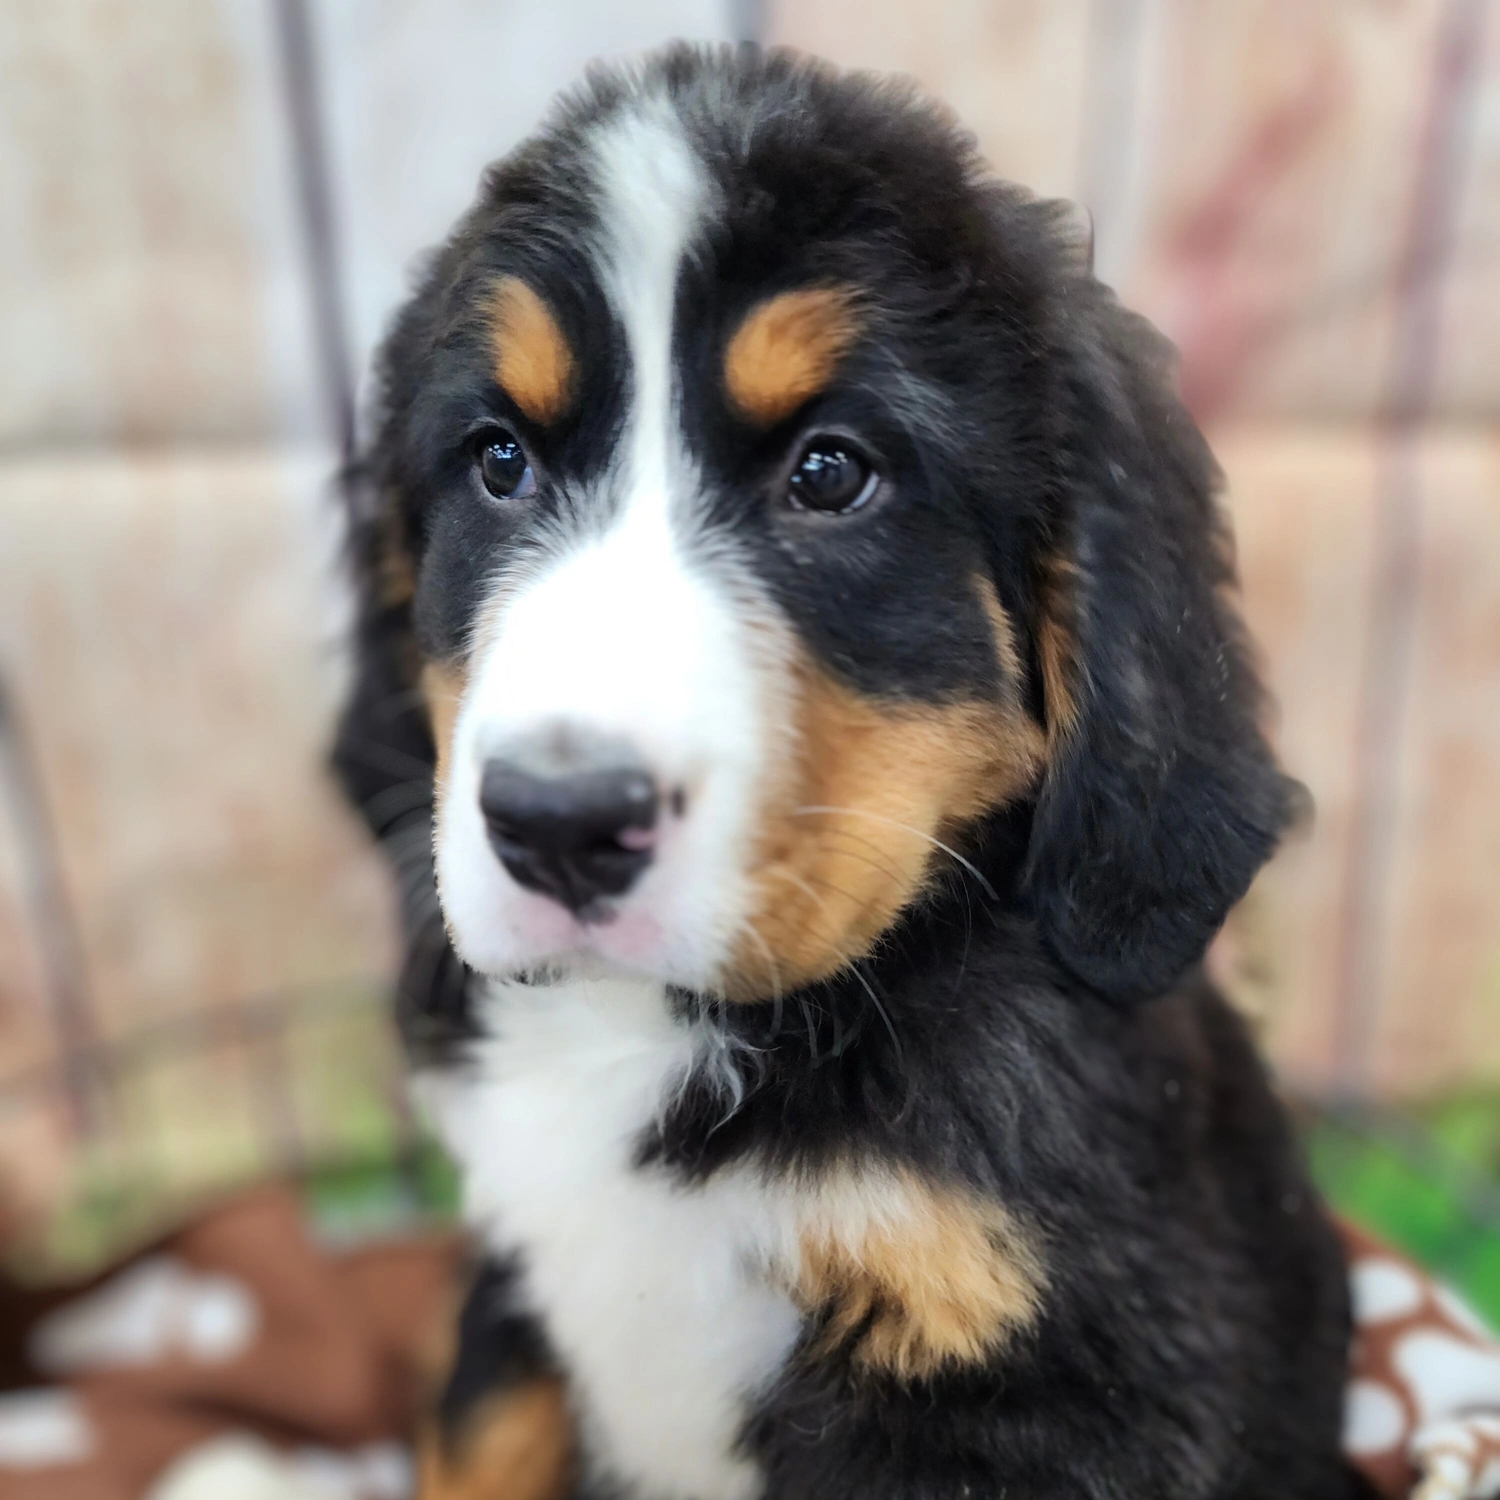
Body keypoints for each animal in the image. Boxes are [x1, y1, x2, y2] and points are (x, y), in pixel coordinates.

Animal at [335, 44, 1363, 1500]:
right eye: (499, 460)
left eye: (831, 473)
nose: (560, 824)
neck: (666, 1029)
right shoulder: (517, 1288)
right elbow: (477, 1436)